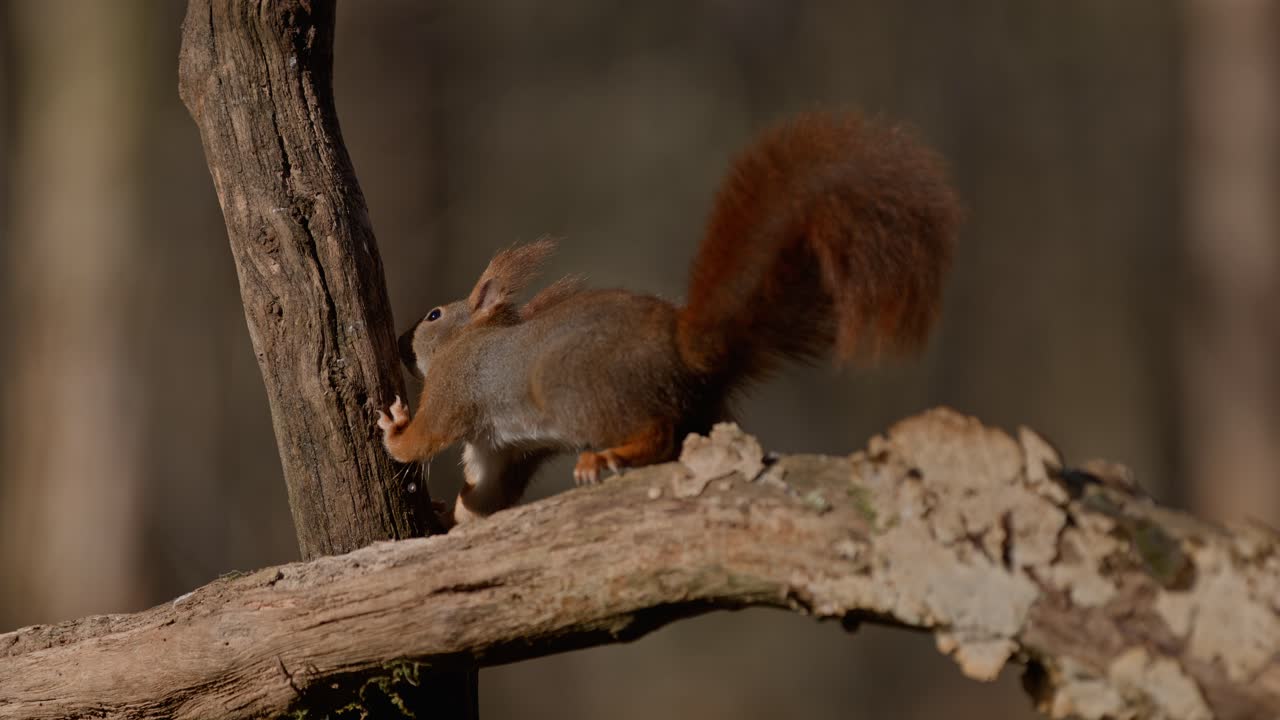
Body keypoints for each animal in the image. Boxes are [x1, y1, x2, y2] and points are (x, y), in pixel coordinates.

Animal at [378, 111, 961, 527]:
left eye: (433, 314)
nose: (402, 340)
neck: (470, 339)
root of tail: (689, 357)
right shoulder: (497, 449)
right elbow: (484, 499)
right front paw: (446, 512)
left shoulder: (455, 389)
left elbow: (422, 438)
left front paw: (394, 425)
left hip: (575, 389)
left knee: (657, 436)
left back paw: (603, 459)